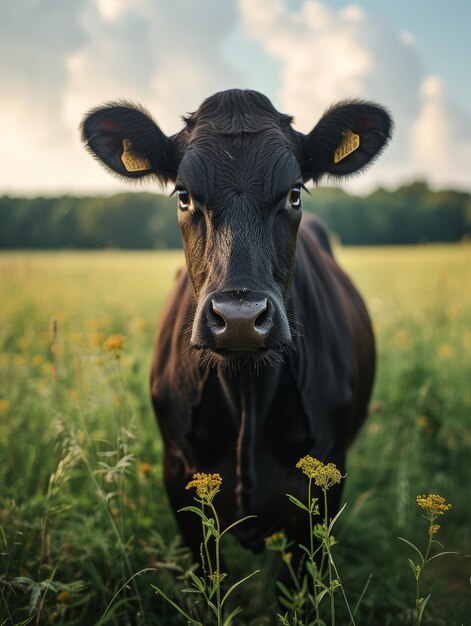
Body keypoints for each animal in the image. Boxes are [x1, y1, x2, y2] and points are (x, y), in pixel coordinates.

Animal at [83, 86, 392, 556]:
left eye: (294, 193)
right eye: (184, 194)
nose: (240, 318)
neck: (247, 390)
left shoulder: (323, 480)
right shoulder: (178, 478)